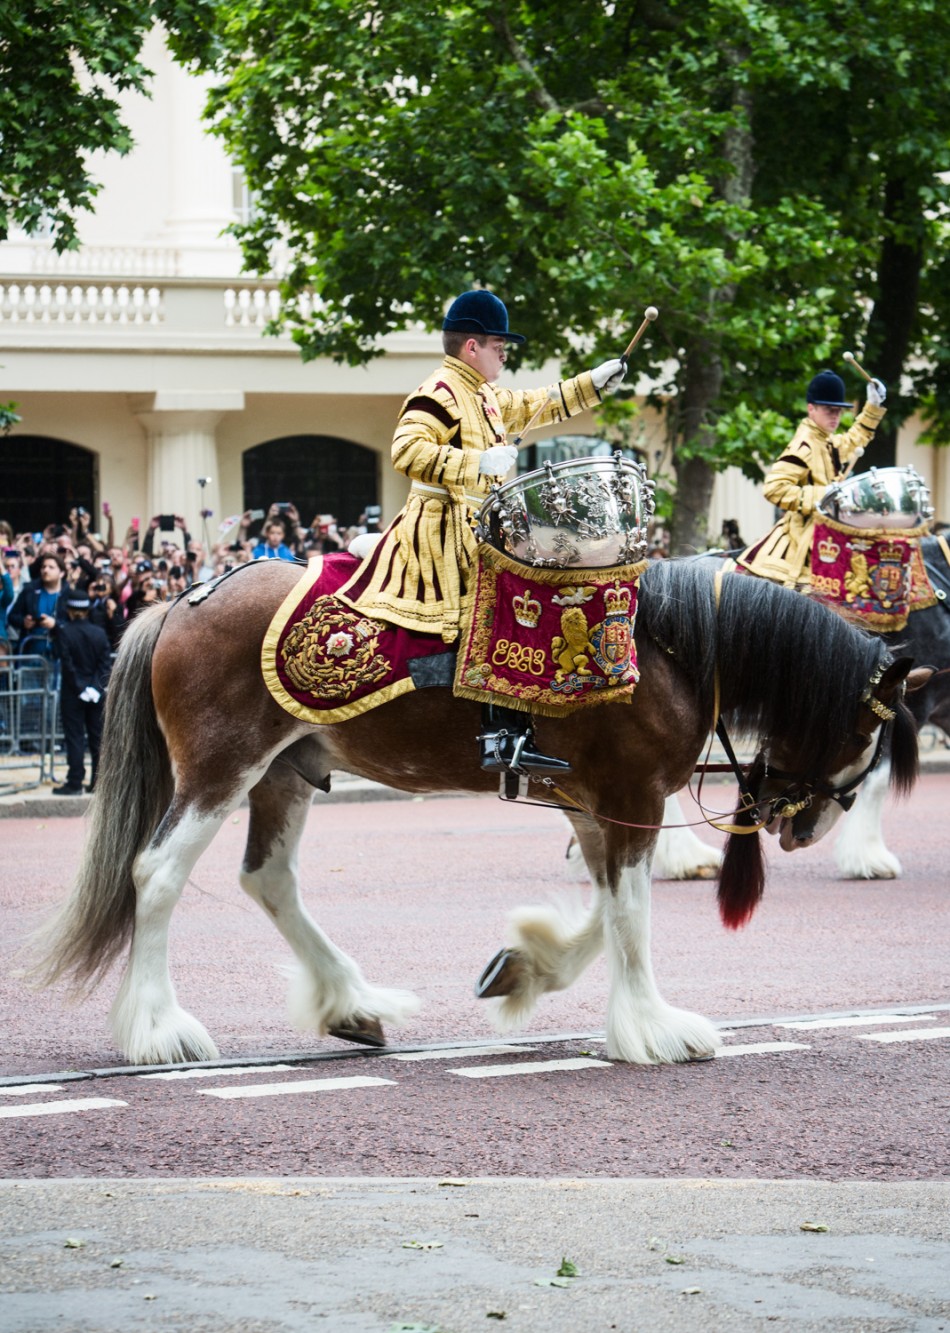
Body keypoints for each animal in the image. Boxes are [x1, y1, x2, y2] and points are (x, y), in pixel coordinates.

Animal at [27, 557, 927, 1066]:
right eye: (865, 728)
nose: (805, 823)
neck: (672, 643)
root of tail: (180, 599)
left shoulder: (595, 806)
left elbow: (605, 914)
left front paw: (526, 966)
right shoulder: (630, 798)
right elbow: (630, 918)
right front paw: (652, 1029)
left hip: (285, 773)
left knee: (269, 880)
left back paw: (350, 1001)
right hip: (220, 769)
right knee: (157, 874)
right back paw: (158, 1030)